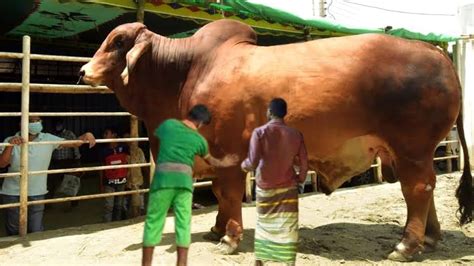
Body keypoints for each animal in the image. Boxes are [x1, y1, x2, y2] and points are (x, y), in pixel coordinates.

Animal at [79, 19, 472, 260]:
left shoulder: (228, 151)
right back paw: (429, 239)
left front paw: (229, 238)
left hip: (412, 149)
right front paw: (216, 229)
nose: (83, 71)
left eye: (117, 42)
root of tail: (434, 51)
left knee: (417, 189)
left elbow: (229, 193)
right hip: (411, 153)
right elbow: (219, 193)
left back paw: (406, 245)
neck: (187, 70)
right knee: (423, 190)